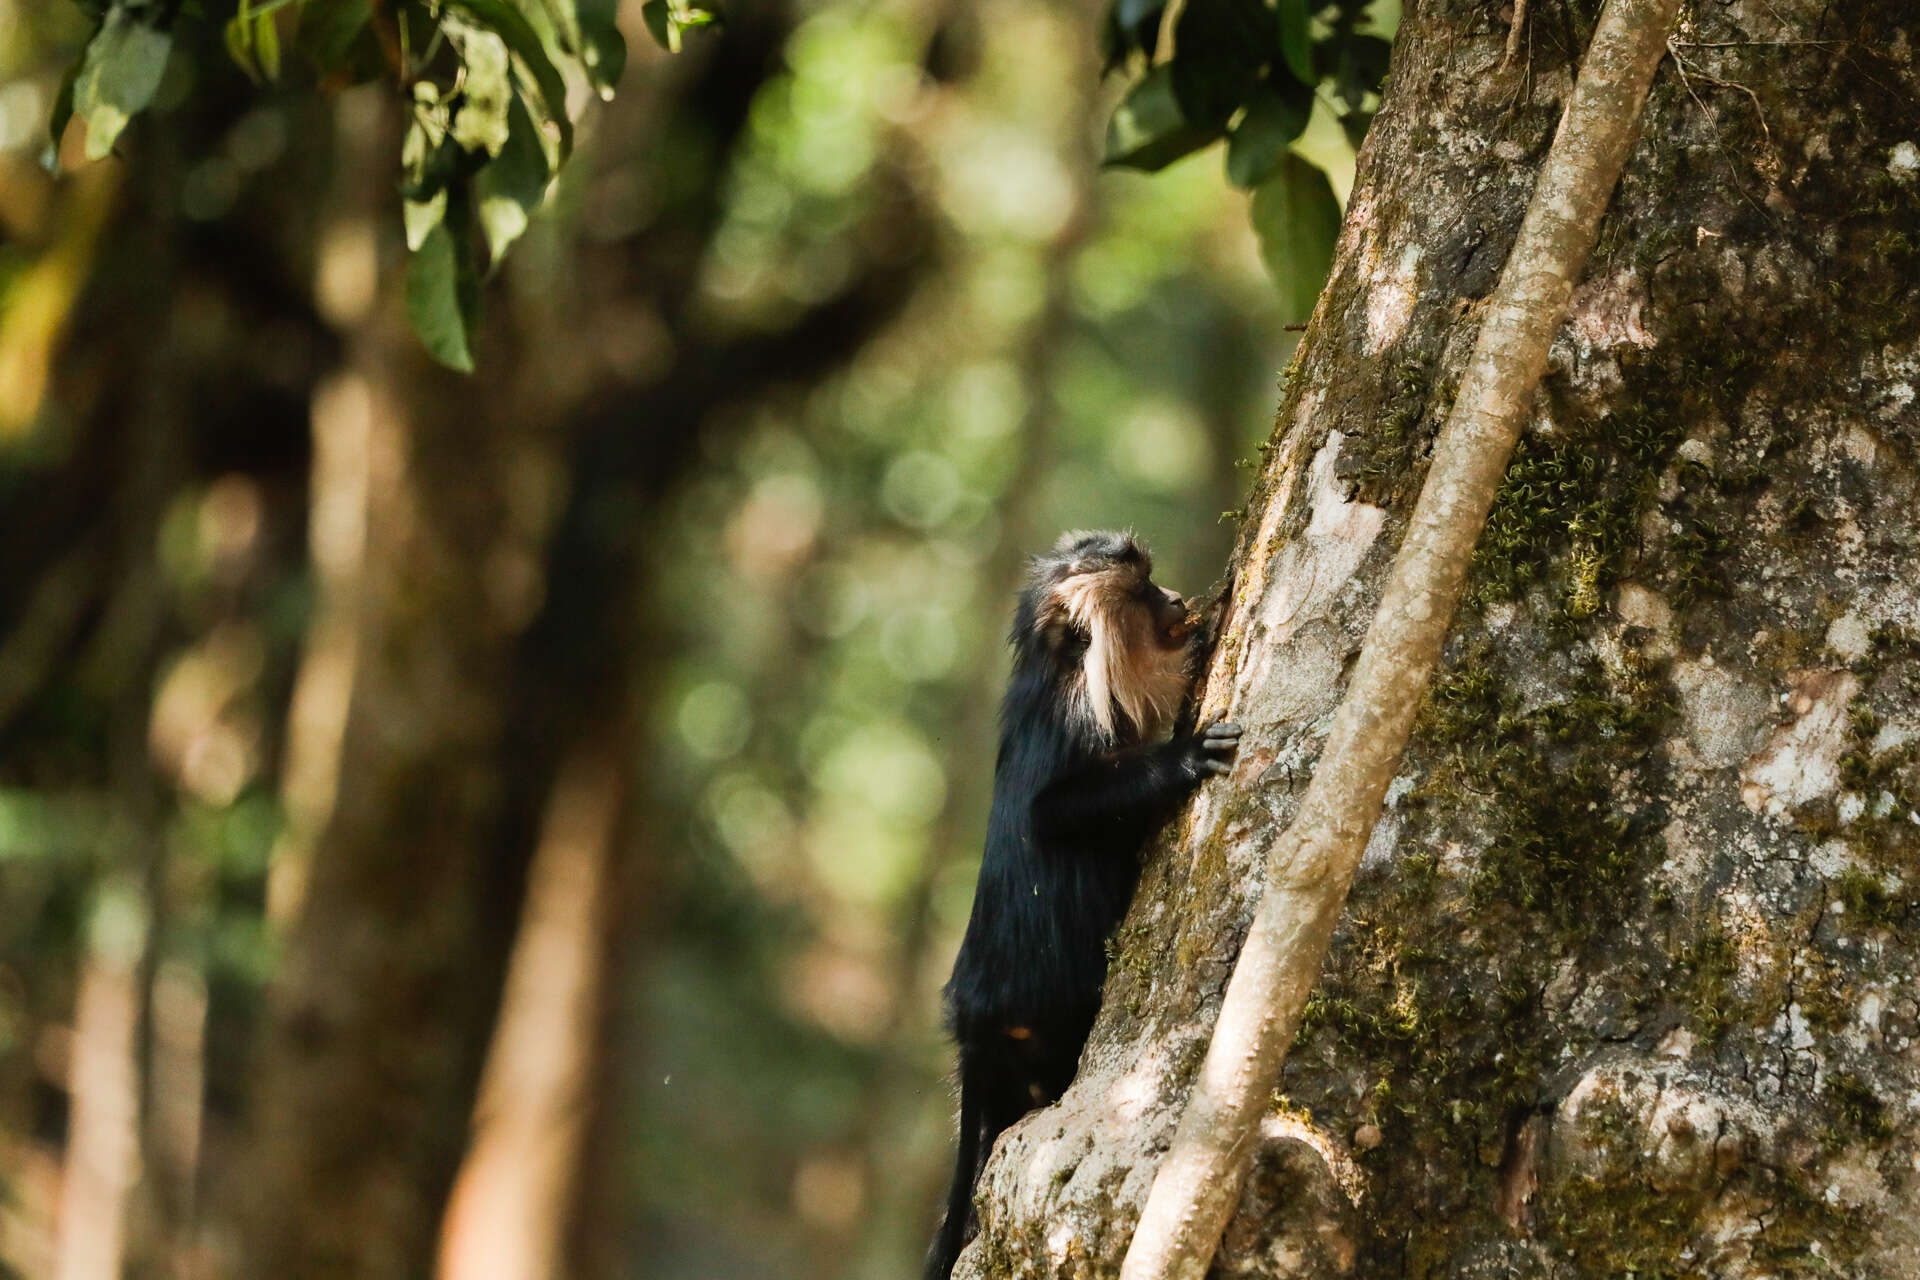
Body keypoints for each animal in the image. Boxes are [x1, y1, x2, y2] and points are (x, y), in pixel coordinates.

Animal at [929, 533, 1244, 1280]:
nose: (1177, 600)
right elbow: (1055, 811)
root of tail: (976, 1019)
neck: (1059, 672)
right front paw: (1182, 757)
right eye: (1145, 593)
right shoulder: (1067, 721)